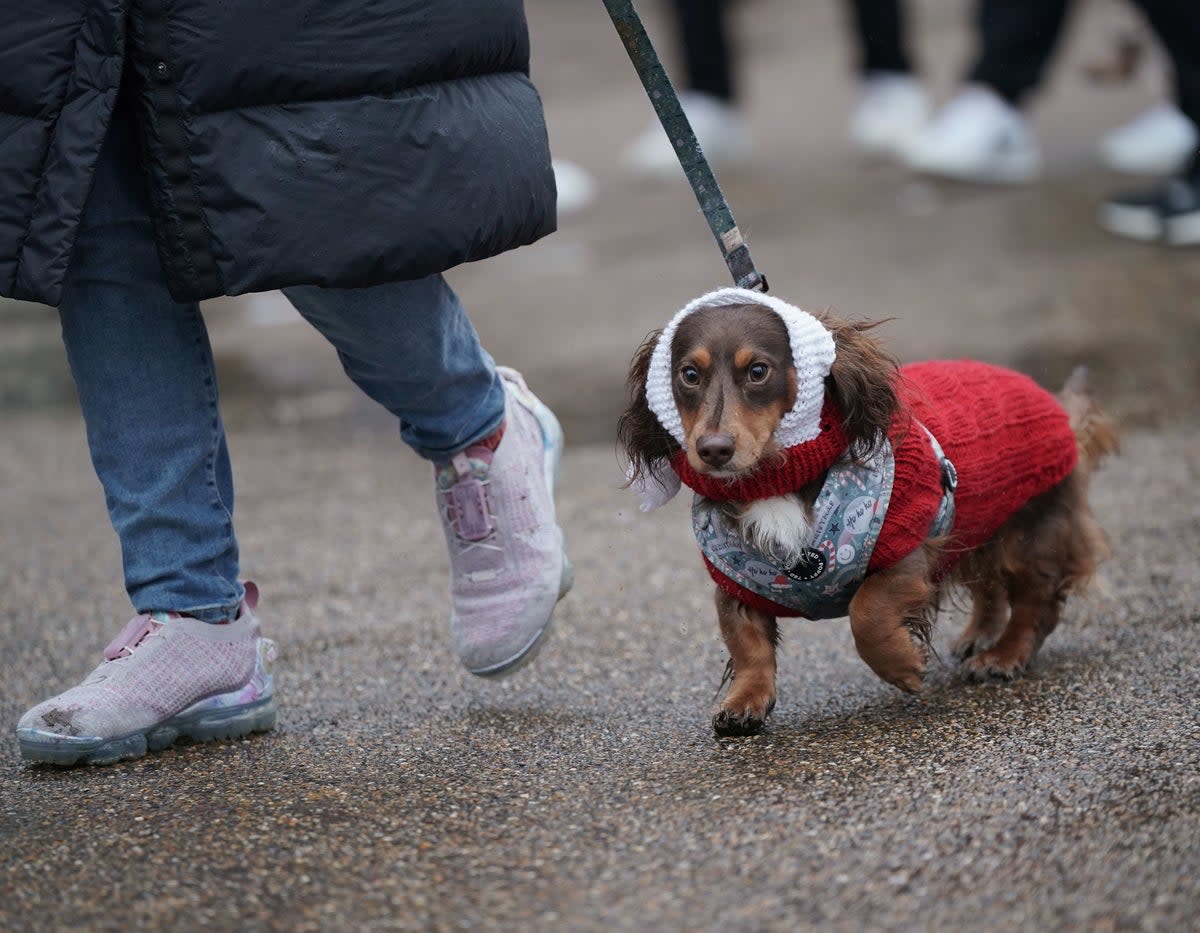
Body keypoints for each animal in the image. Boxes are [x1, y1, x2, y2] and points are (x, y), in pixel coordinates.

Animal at [619, 286, 1113, 738]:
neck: (778, 480)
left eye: (758, 371)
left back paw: (1004, 656)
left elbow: (867, 610)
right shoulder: (736, 579)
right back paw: (980, 636)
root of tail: (1058, 408)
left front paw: (903, 664)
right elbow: (747, 645)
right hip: (980, 527)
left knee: (1035, 604)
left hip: (1029, 531)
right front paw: (745, 701)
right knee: (989, 587)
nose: (714, 450)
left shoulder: (907, 544)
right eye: (688, 374)